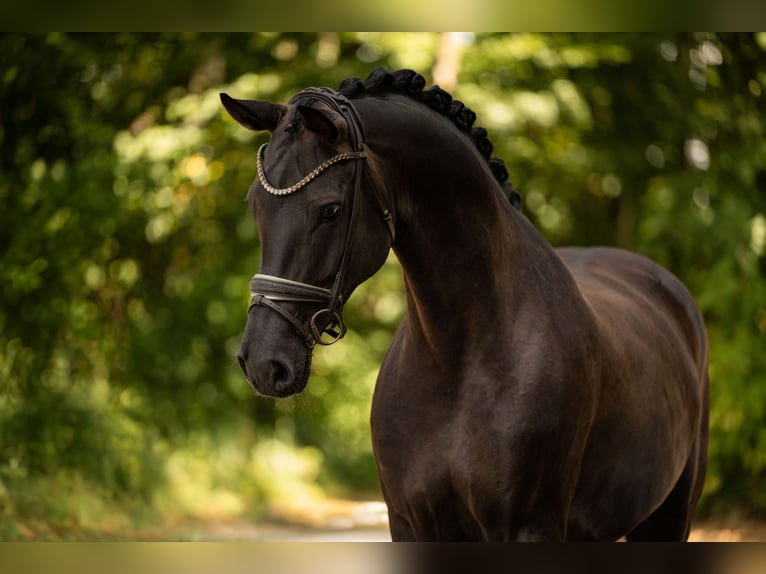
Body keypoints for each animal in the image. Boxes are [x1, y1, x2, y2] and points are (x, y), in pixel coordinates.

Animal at [221, 68, 709, 541]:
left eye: (329, 210)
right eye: (254, 204)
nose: (262, 362)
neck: (458, 362)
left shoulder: (529, 529)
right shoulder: (409, 523)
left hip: (669, 516)